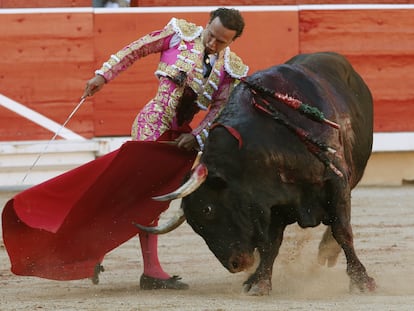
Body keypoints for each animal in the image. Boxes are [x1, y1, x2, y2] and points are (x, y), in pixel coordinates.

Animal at [135, 52, 376, 296]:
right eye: (195, 226)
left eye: (208, 209)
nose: (235, 265)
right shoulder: (273, 201)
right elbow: (270, 243)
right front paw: (259, 281)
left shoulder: (336, 180)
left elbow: (342, 230)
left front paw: (361, 281)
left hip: (353, 173)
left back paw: (328, 252)